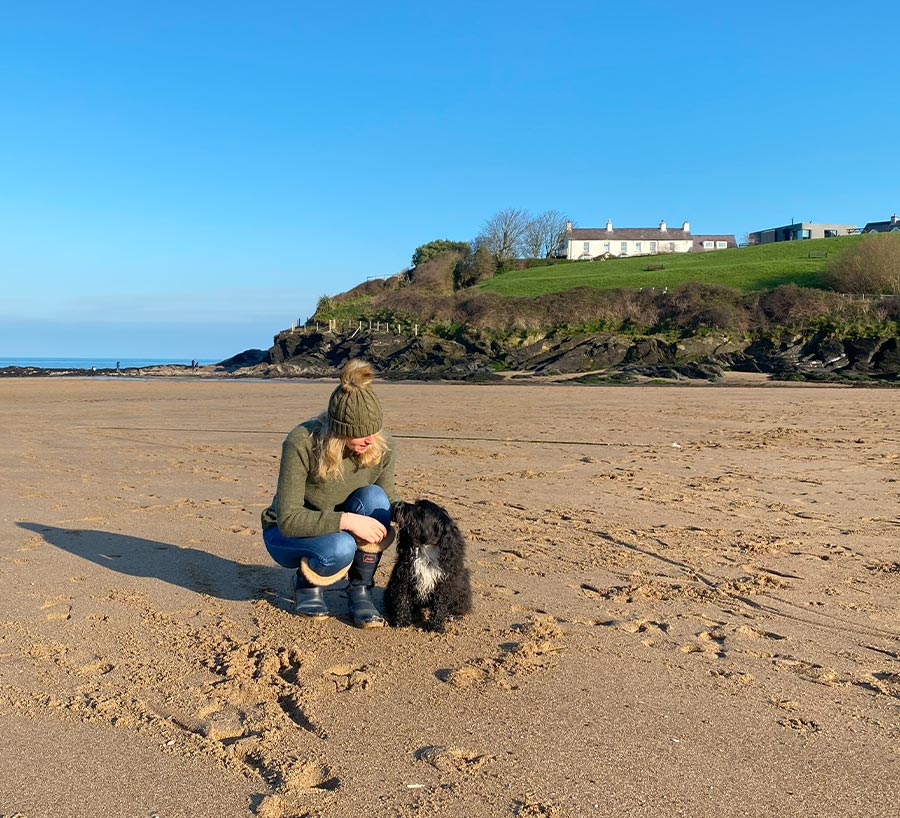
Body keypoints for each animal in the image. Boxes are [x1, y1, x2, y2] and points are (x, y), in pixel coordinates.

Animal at [384, 498, 474, 632]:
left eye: (422, 510)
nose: (398, 504)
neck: (426, 549)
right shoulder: (403, 578)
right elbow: (402, 600)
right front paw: (402, 622)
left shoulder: (444, 582)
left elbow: (439, 605)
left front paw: (435, 626)